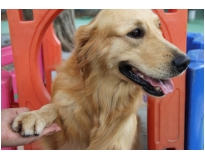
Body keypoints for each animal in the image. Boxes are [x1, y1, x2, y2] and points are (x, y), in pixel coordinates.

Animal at [12, 9, 190, 150]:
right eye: (135, 32)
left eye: (159, 27)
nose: (185, 62)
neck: (103, 98)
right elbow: (54, 107)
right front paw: (34, 116)